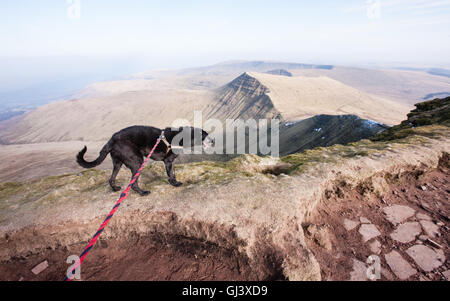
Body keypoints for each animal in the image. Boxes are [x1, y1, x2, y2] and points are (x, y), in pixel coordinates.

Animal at [76, 125, 214, 193]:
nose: (214, 141)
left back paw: (115, 189)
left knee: (111, 179)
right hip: (137, 161)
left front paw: (174, 182)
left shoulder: (170, 162)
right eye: (206, 136)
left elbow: (173, 173)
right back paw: (142, 192)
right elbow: (171, 174)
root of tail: (111, 140)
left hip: (118, 162)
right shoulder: (168, 161)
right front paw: (175, 184)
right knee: (133, 183)